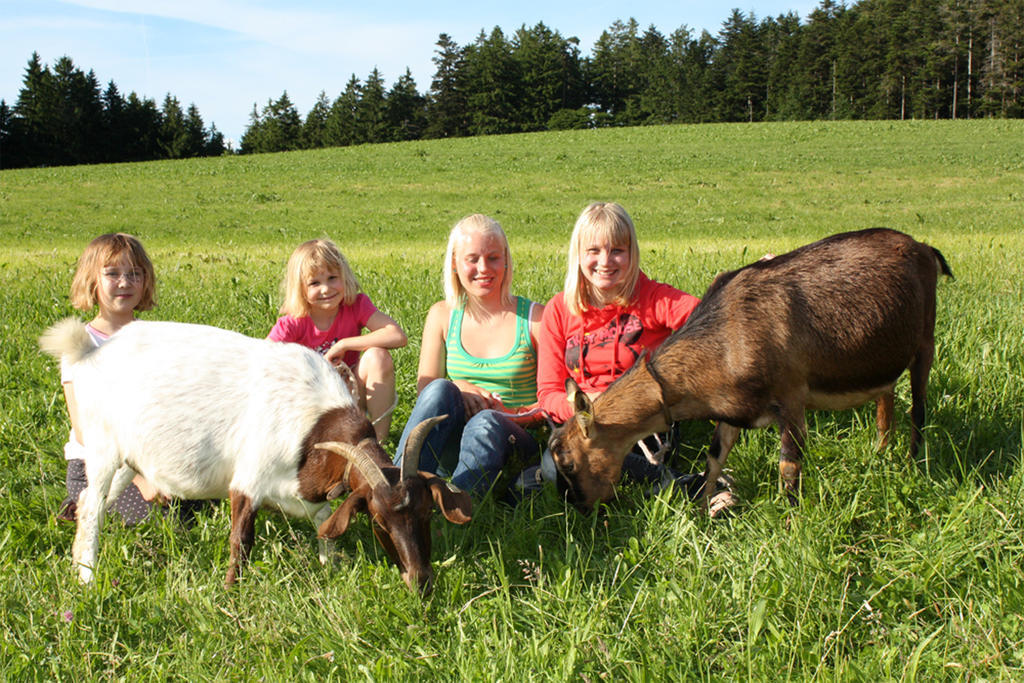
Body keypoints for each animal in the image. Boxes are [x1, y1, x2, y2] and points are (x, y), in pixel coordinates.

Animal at [548, 228, 954, 511]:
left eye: (567, 461)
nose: (578, 506)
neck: (728, 337)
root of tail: (923, 248)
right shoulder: (732, 411)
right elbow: (714, 459)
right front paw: (700, 512)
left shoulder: (791, 399)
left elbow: (788, 466)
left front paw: (791, 519)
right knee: (887, 397)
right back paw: (881, 451)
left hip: (925, 343)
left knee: (918, 408)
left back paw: (914, 465)